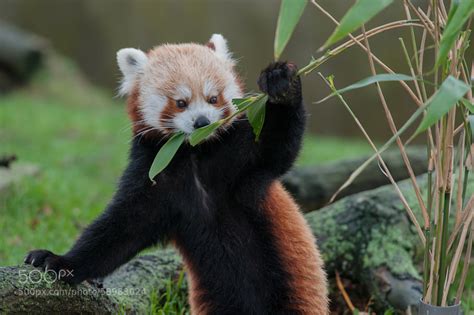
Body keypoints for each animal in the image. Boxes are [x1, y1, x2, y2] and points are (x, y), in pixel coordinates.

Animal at [24, 33, 328, 314]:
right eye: (181, 102)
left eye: (213, 98)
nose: (202, 122)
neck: (193, 156)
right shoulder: (154, 177)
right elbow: (119, 231)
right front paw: (59, 261)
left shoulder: (243, 164)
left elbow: (278, 147)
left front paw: (282, 86)